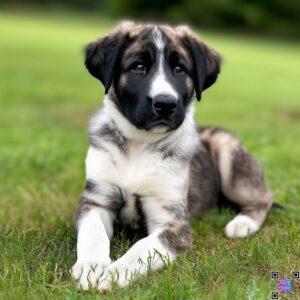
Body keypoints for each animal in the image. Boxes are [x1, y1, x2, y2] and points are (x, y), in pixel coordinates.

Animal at [71, 22, 274, 292]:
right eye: (138, 67)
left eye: (179, 69)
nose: (165, 104)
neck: (139, 144)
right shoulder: (96, 199)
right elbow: (92, 232)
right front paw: (90, 266)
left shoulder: (173, 223)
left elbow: (140, 249)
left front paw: (115, 273)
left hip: (229, 155)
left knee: (264, 198)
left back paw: (242, 223)